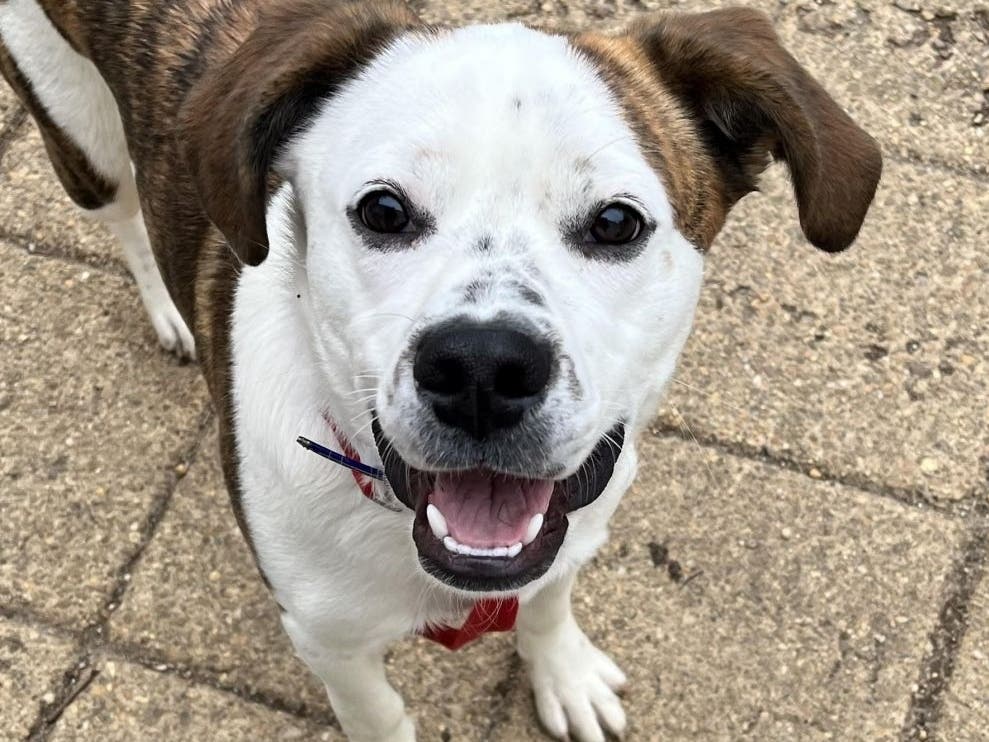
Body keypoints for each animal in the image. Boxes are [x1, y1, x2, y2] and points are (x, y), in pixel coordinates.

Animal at [0, 2, 880, 740]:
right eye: (383, 211)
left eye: (616, 223)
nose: (482, 369)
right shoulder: (328, 640)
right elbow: (380, 714)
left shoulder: (569, 532)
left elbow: (548, 601)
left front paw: (562, 672)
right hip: (80, 129)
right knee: (124, 218)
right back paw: (170, 311)